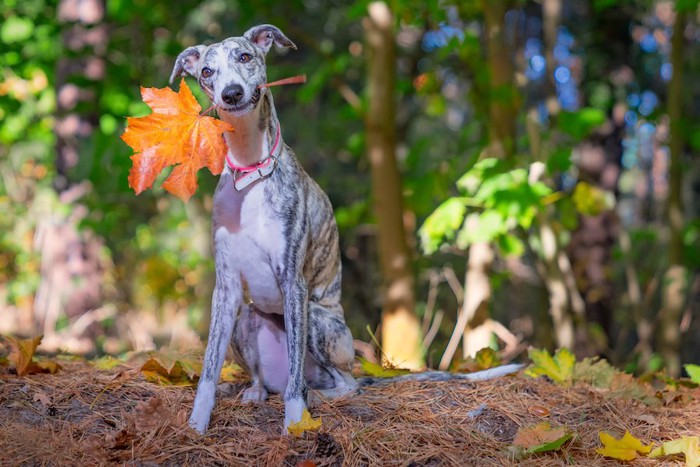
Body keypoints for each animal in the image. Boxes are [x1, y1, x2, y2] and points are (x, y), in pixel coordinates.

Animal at [171, 24, 524, 436]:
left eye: (244, 57)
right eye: (206, 72)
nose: (231, 94)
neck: (251, 173)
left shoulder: (293, 281)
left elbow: (294, 386)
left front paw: (295, 424)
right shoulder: (226, 287)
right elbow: (209, 370)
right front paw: (196, 424)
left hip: (318, 323)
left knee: (338, 383)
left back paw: (318, 395)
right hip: (247, 317)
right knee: (270, 378)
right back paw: (257, 391)